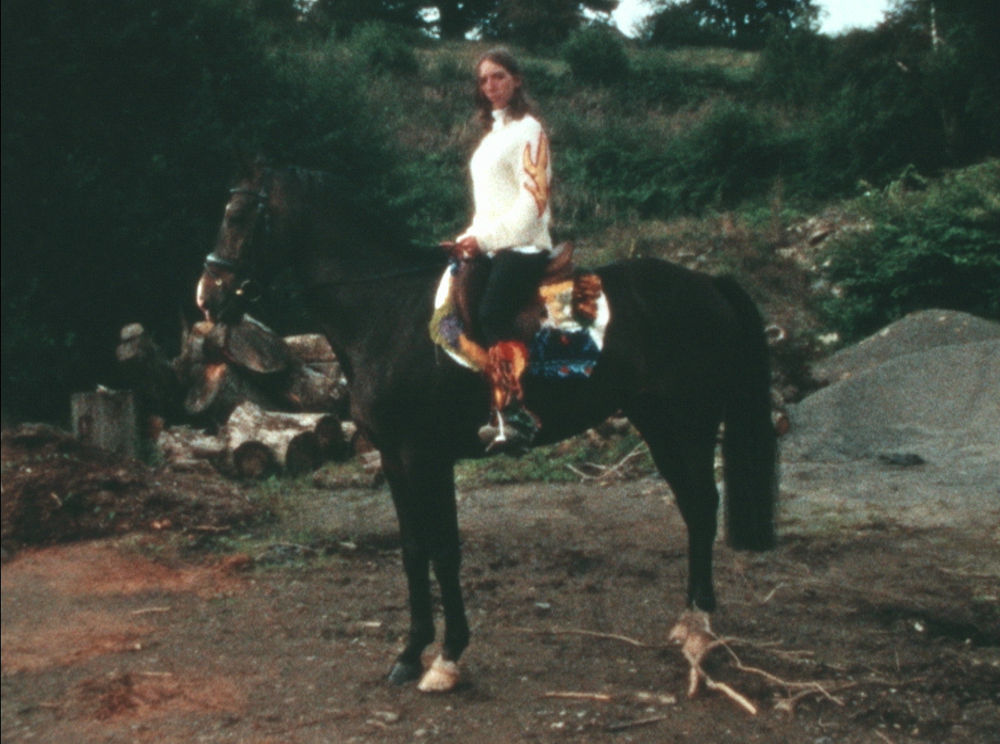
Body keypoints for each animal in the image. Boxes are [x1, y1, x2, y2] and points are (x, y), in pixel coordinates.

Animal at [193, 163, 772, 692]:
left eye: (238, 215)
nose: (207, 296)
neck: (386, 312)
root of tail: (708, 283)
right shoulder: (394, 457)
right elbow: (414, 550)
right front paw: (410, 654)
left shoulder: (426, 455)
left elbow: (445, 551)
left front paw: (448, 659)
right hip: (659, 423)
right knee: (694, 508)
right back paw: (688, 623)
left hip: (690, 422)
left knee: (703, 505)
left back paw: (701, 628)